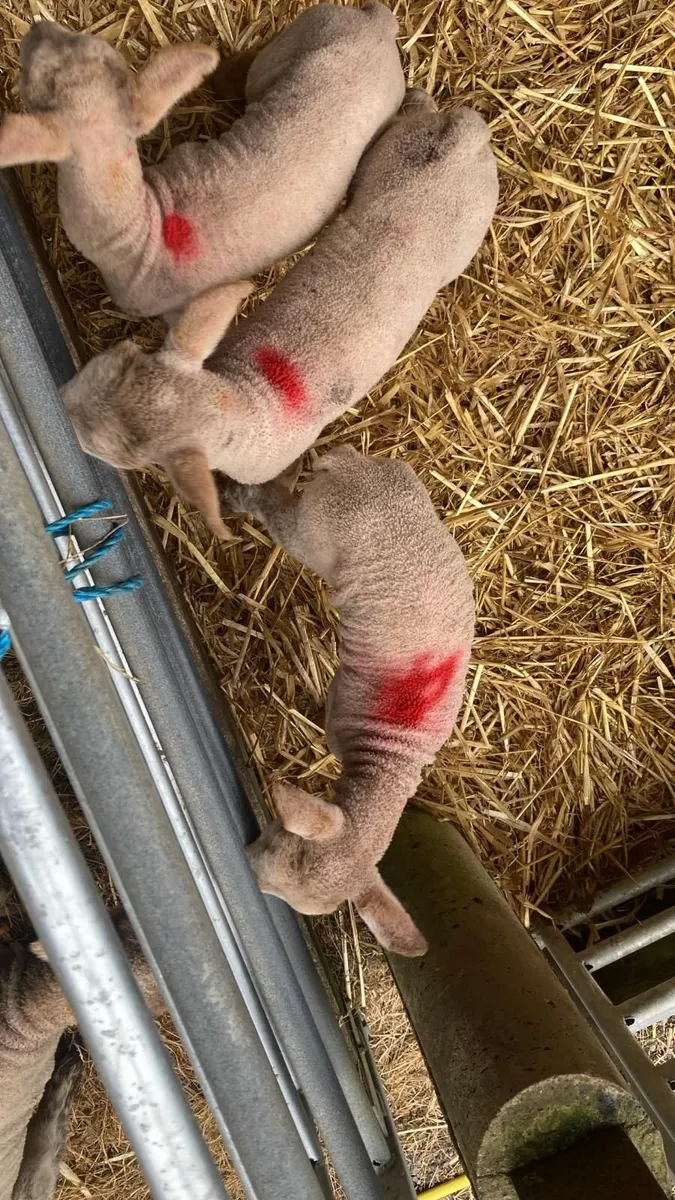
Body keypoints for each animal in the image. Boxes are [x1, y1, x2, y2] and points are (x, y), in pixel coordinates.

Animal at [61, 96, 499, 539]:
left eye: (119, 452)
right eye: (123, 355)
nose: (63, 400)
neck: (246, 398)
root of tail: (462, 138)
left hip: (469, 229)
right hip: (391, 152)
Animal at [216, 445, 476, 957]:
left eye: (274, 842)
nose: (242, 863)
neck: (390, 761)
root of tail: (352, 468)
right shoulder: (339, 718)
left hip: (393, 482)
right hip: (316, 531)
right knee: (278, 513)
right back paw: (242, 493)